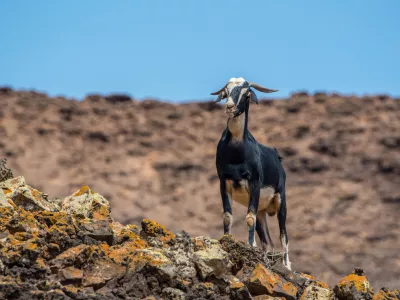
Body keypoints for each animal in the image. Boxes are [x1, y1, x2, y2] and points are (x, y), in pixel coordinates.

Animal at [212, 77, 290, 270]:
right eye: (226, 91)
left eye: (246, 93)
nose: (230, 107)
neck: (237, 152)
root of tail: (277, 157)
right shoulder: (223, 182)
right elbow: (227, 216)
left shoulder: (254, 184)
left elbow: (248, 218)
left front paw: (250, 245)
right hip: (262, 210)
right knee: (268, 240)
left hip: (281, 201)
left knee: (283, 235)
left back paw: (287, 266)